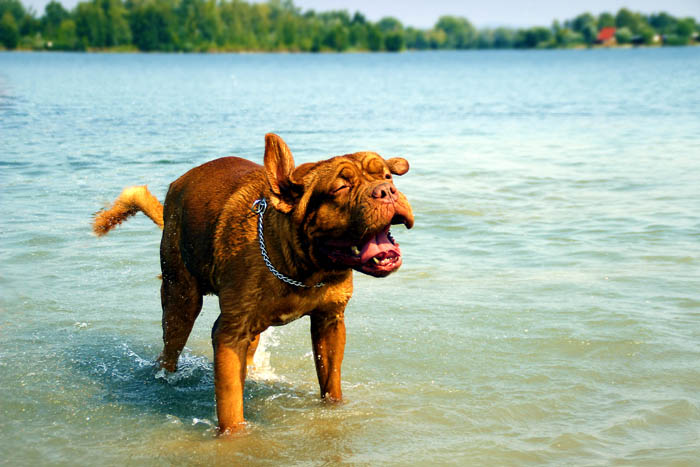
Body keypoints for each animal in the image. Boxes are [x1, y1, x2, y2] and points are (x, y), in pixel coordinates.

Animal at [91, 134, 410, 436]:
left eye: (387, 176)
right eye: (340, 188)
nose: (386, 191)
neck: (301, 267)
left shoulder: (330, 321)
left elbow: (331, 381)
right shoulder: (229, 334)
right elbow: (230, 403)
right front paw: (233, 436)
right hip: (180, 299)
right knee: (170, 348)